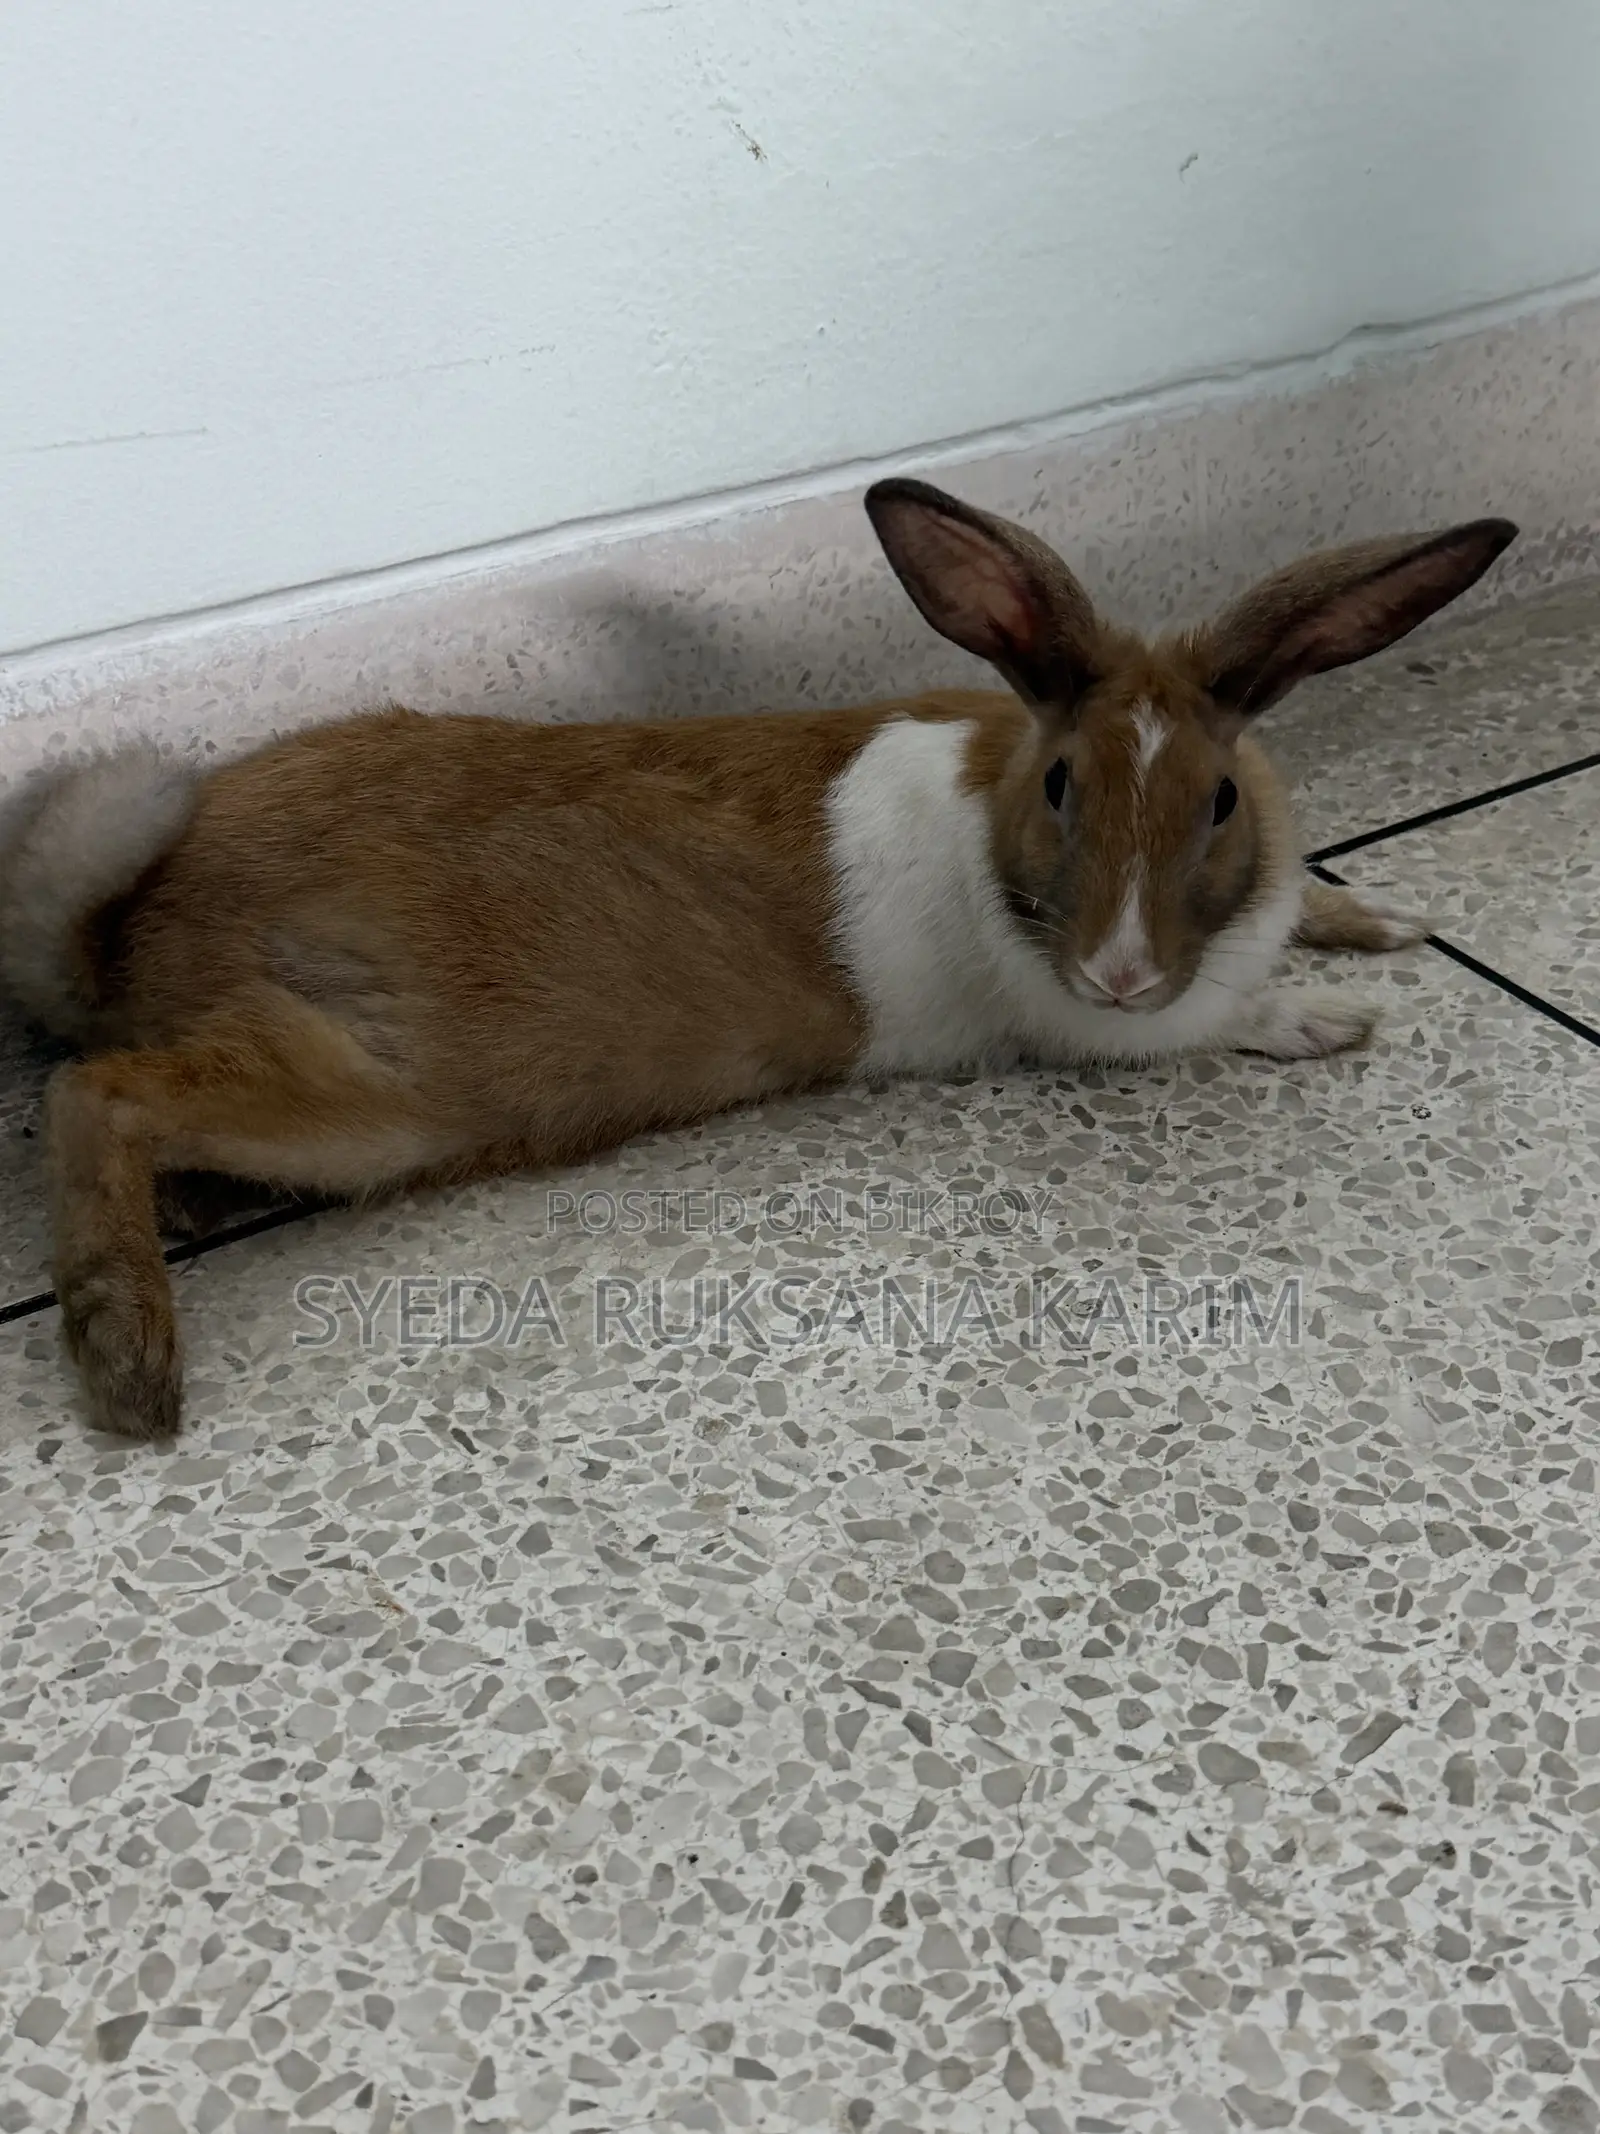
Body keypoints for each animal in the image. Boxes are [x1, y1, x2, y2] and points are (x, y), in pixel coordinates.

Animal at [0, 477, 1515, 1441]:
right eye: (1066, 785)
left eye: (1220, 800)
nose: (1121, 968)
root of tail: (126, 920)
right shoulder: (1094, 1028)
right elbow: (1226, 1021)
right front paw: (1334, 1016)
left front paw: (1384, 919)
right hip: (369, 1099)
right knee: (93, 1095)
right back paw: (129, 1367)